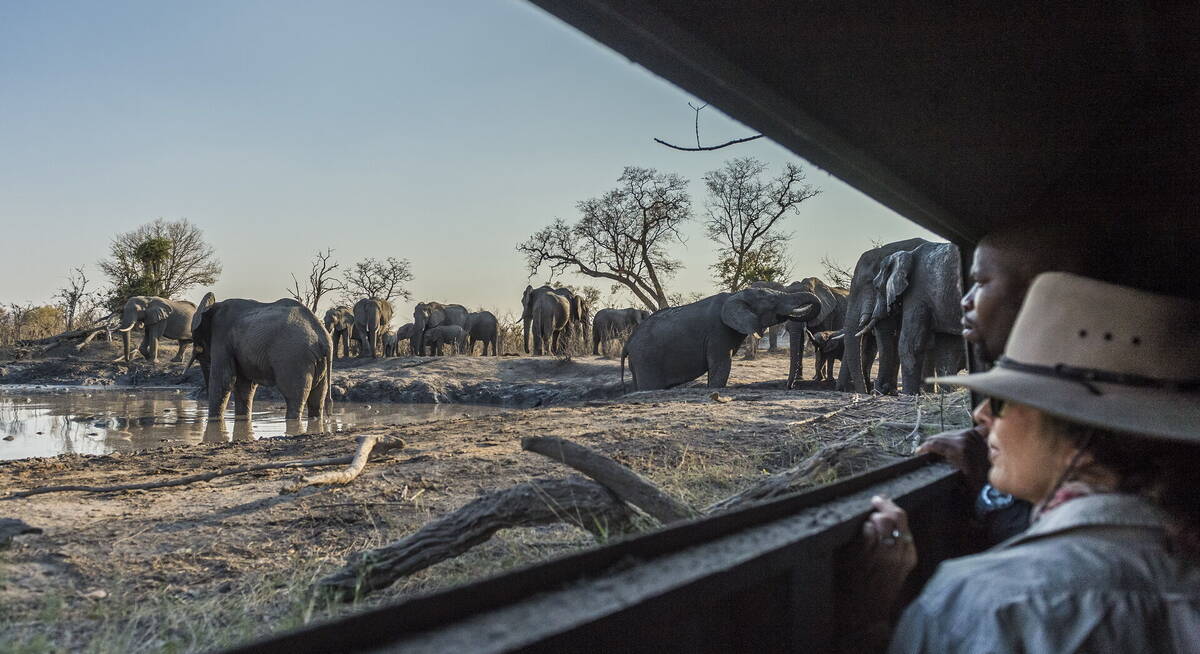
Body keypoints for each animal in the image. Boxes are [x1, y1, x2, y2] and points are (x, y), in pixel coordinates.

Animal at [189, 291, 336, 417]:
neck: (213, 306)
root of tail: (323, 336)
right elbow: (244, 385)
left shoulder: (221, 336)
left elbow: (224, 379)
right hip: (319, 361)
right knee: (317, 399)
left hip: (294, 359)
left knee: (294, 398)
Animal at [619, 288, 825, 391]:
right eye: (773, 302)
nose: (789, 388)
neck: (736, 295)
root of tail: (628, 343)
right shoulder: (718, 332)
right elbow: (721, 365)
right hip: (646, 358)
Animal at [859, 240, 969, 393]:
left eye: (876, 287)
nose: (881, 389)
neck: (907, 255)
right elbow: (948, 347)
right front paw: (947, 393)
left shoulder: (917, 293)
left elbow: (910, 343)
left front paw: (909, 394)